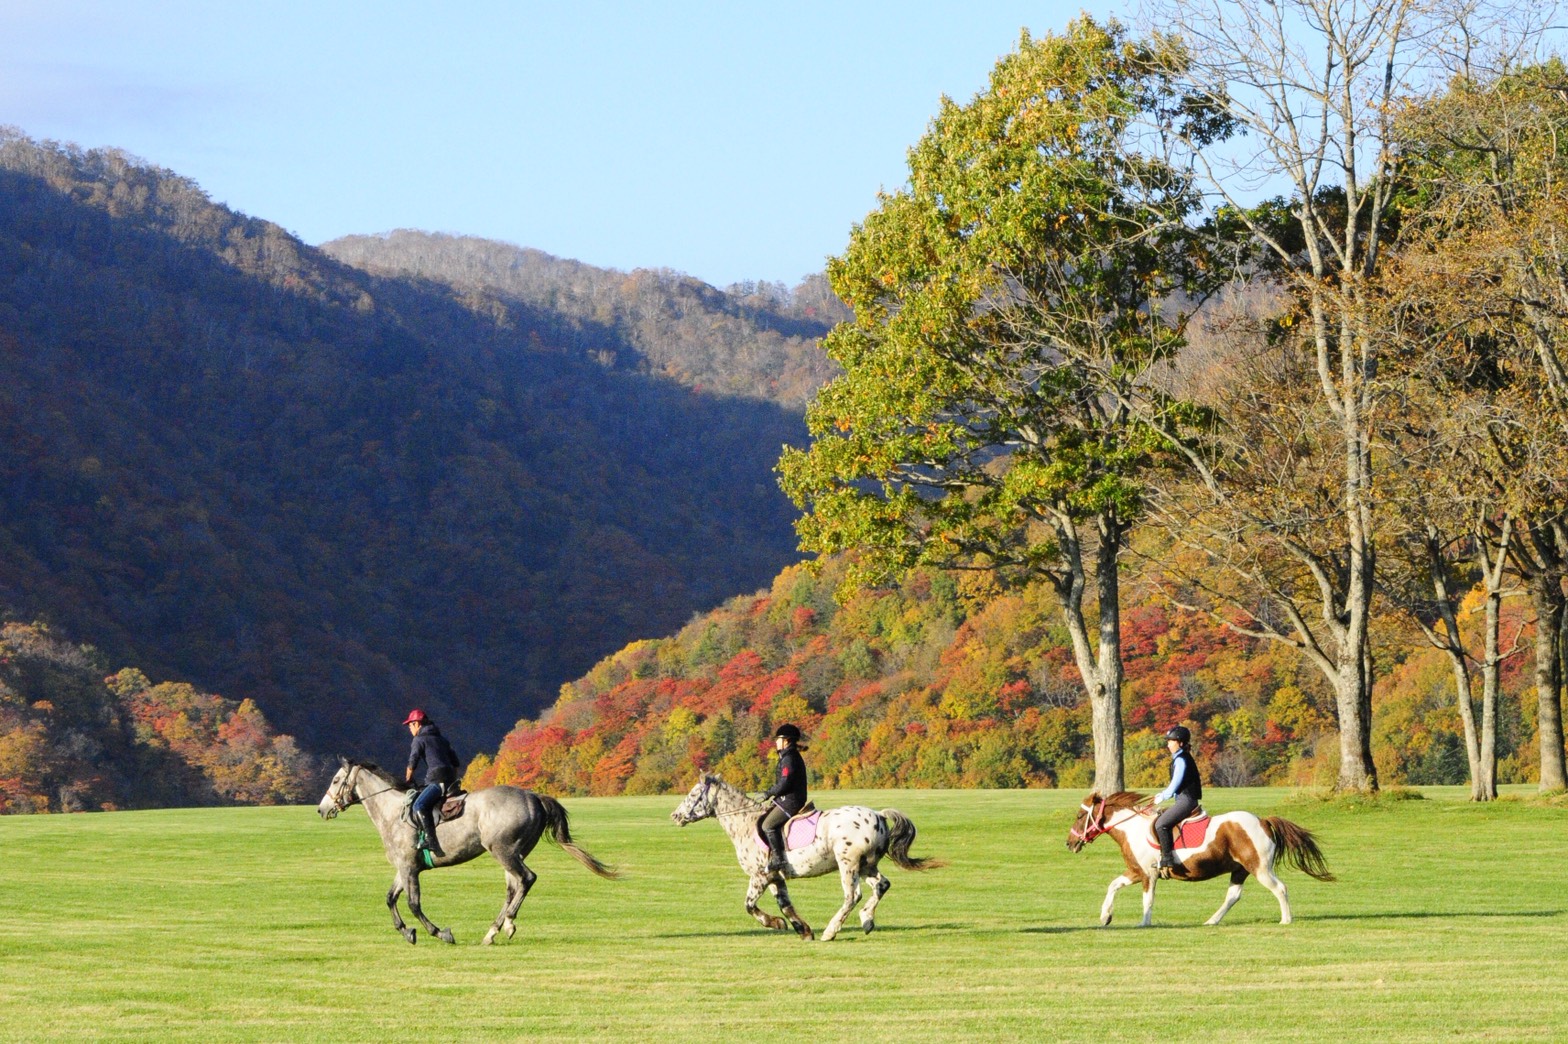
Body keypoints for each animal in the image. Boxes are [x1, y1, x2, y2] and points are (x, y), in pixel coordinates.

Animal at [318, 757, 619, 945]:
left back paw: (508, 924)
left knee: (527, 879)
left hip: (504, 851)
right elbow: (391, 899)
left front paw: (440, 933)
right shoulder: (404, 868)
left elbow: (413, 904)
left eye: (336, 780)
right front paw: (407, 933)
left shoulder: (409, 868)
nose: (321, 809)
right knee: (514, 888)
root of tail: (533, 796)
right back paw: (493, 932)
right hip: (512, 853)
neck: (392, 813)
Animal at [669, 774, 941, 941]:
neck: (744, 823)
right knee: (882, 885)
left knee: (852, 895)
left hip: (848, 863)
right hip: (867, 865)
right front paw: (802, 929)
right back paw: (866, 921)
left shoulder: (760, 876)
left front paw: (775, 923)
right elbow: (785, 905)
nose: (675, 816)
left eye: (693, 795)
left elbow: (749, 906)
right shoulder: (775, 877)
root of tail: (878, 815)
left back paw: (831, 931)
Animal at [1065, 790, 1334, 927]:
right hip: (1240, 870)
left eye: (1079, 815)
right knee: (1233, 896)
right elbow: (1113, 886)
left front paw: (1144, 923)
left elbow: (1147, 900)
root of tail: (1263, 821)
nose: (1069, 843)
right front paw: (1105, 917)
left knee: (1280, 888)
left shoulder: (1148, 874)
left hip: (1259, 868)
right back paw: (1211, 921)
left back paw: (1286, 920)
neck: (1133, 829)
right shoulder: (1135, 872)